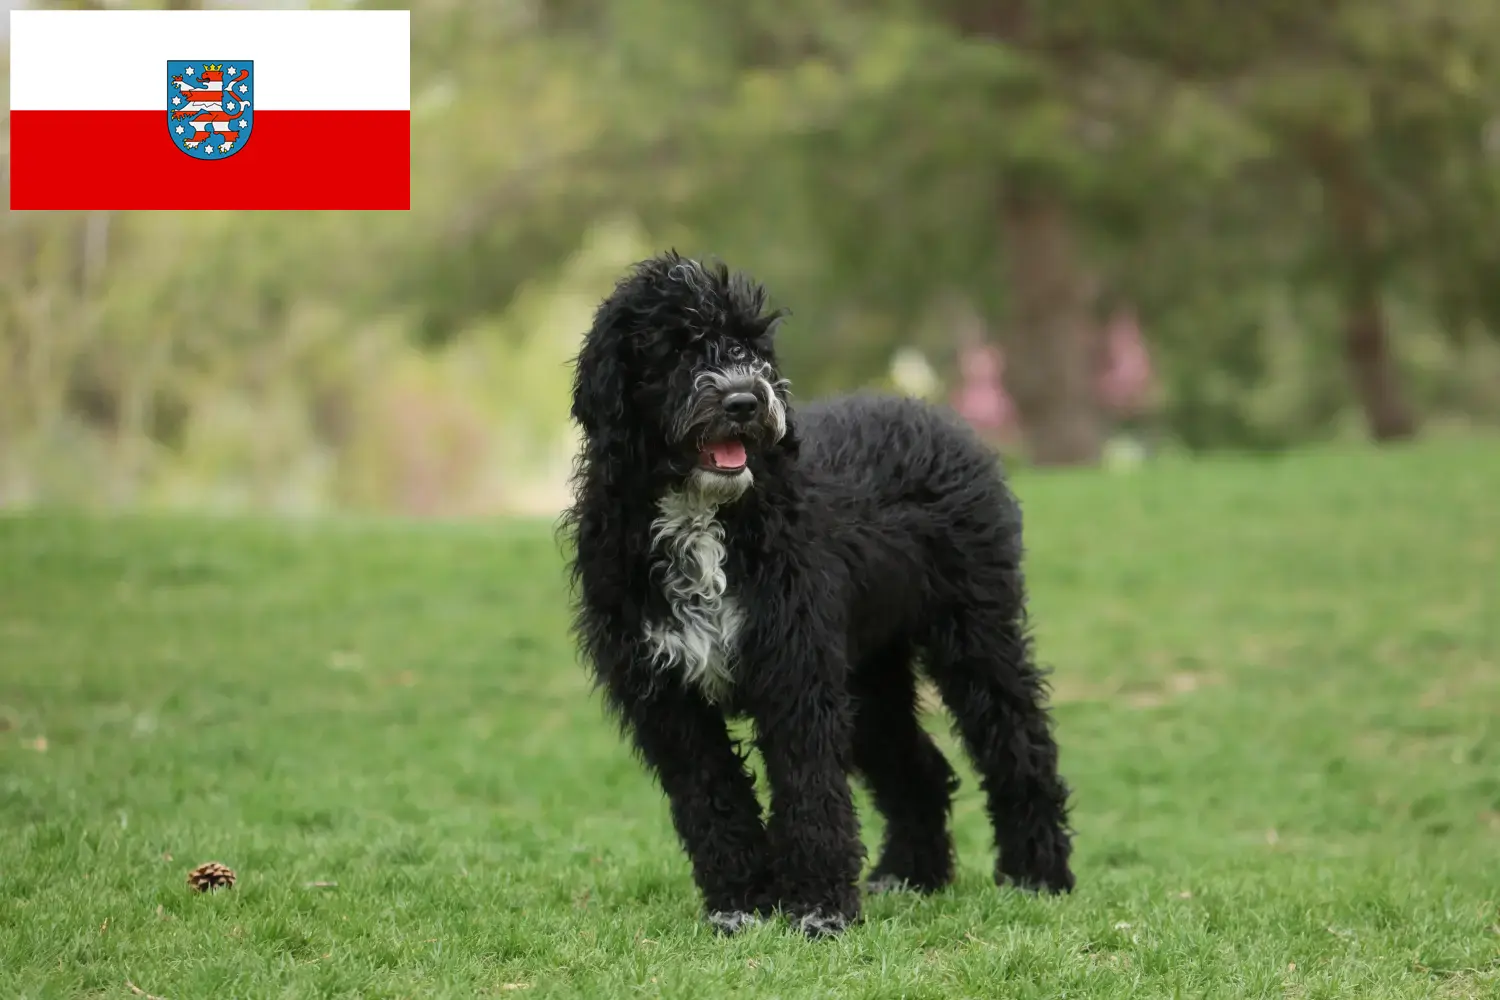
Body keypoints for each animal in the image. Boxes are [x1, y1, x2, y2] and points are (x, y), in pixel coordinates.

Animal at [564, 251, 1080, 941]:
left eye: (751, 344)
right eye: (677, 347)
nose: (745, 399)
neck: (703, 515)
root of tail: (933, 414)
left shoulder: (795, 670)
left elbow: (810, 791)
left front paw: (818, 908)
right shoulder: (667, 696)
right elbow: (711, 798)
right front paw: (741, 903)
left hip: (976, 634)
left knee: (1020, 744)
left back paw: (1037, 872)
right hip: (870, 676)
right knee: (920, 771)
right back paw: (910, 874)